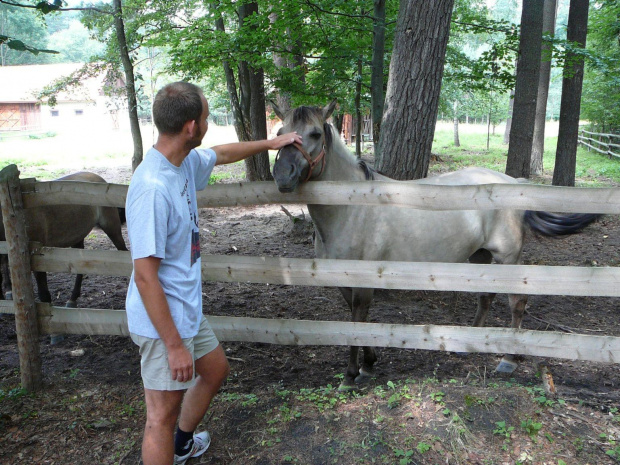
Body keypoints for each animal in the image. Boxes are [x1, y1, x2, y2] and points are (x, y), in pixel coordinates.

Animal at [274, 103, 600, 390]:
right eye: (280, 132)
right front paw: (368, 363)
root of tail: (513, 182)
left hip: (508, 258)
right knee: (486, 297)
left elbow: (357, 323)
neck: (352, 207)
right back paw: (469, 343)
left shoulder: (363, 280)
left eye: (315, 133)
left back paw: (508, 359)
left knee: (516, 303)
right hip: (480, 256)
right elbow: (359, 321)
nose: (282, 175)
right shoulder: (342, 280)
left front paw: (351, 375)